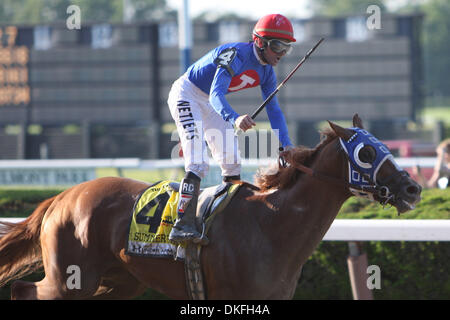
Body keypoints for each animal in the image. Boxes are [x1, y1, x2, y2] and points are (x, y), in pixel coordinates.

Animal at [0, 115, 422, 300]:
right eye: (366, 153)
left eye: (383, 146)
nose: (413, 187)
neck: (272, 226)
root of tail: (61, 197)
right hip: (70, 279)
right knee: (24, 289)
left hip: (119, 282)